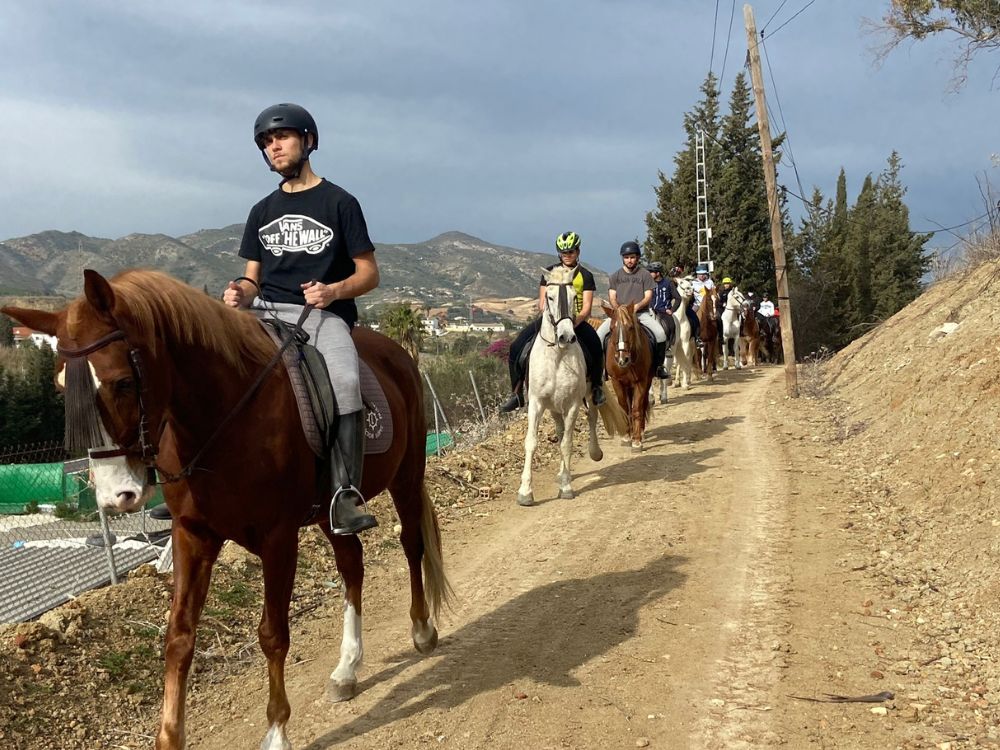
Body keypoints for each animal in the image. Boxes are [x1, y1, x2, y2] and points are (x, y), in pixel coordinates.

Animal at [1, 272, 452, 750]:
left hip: (406, 478)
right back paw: (347, 669)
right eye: (61, 389)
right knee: (352, 565)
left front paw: (276, 732)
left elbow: (273, 634)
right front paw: (170, 736)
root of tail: (397, 353)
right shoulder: (192, 535)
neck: (222, 416)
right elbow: (178, 636)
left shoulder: (278, 538)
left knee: (412, 545)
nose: (112, 495)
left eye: (123, 382)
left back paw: (422, 630)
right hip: (330, 515)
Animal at [516, 268, 624, 508]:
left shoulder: (573, 404)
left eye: (575, 297)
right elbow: (531, 442)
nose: (566, 336)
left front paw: (566, 487)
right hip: (554, 406)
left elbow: (567, 443)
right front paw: (525, 492)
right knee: (559, 429)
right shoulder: (536, 403)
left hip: (588, 395)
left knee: (591, 417)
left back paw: (594, 453)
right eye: (549, 296)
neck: (557, 355)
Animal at [600, 302, 656, 456]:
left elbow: (637, 408)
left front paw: (636, 441)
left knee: (642, 404)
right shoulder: (616, 381)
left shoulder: (641, 382)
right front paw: (626, 436)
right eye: (612, 328)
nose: (622, 359)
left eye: (630, 327)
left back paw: (640, 432)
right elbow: (624, 407)